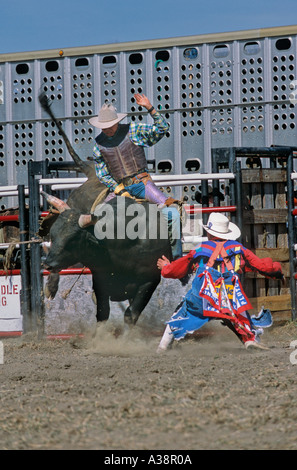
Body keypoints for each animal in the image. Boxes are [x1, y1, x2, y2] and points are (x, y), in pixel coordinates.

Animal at [42, 193, 171, 324]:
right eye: (52, 235)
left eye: (73, 239)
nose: (47, 264)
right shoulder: (100, 281)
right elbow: (103, 313)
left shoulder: (150, 280)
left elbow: (130, 314)